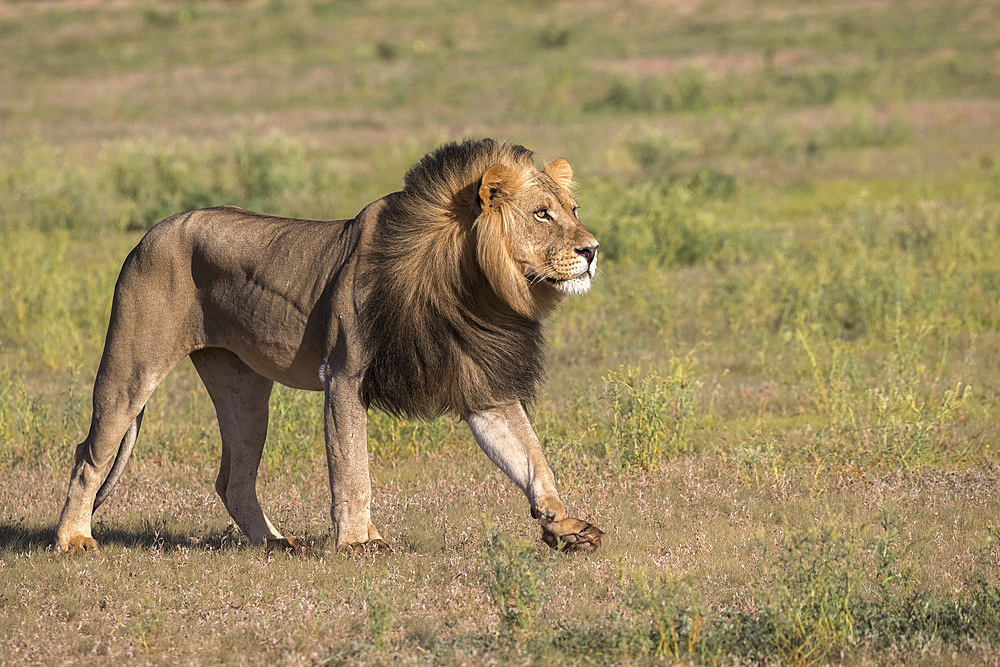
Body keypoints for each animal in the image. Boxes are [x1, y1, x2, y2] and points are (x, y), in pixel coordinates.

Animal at [58, 138, 604, 556]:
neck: (472, 287)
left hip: (244, 390)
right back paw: (73, 539)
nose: (592, 250)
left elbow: (531, 458)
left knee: (233, 479)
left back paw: (275, 543)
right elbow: (352, 468)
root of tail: (150, 233)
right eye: (542, 214)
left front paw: (563, 525)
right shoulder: (343, 375)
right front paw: (358, 542)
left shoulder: (482, 386)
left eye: (574, 211)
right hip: (131, 367)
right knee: (89, 454)